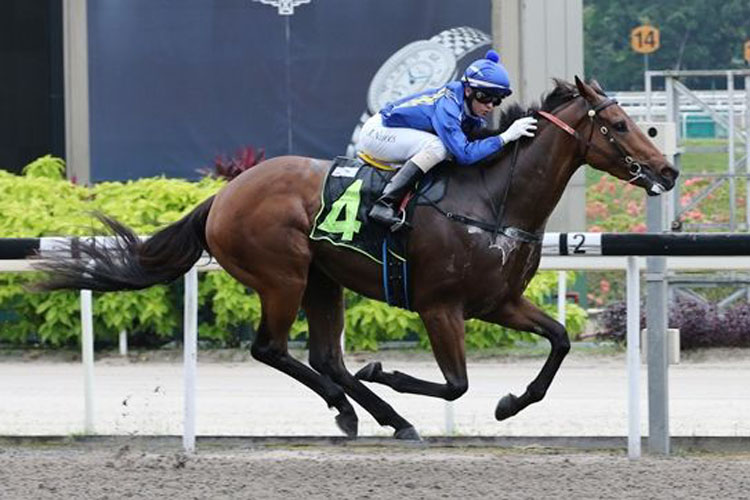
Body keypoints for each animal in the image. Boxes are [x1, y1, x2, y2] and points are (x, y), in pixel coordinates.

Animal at [36, 76, 680, 440]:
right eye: (619, 123)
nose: (669, 170)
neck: (492, 199)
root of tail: (224, 194)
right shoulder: (440, 305)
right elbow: (455, 385)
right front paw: (388, 372)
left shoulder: (497, 301)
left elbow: (560, 342)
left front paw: (509, 404)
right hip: (283, 275)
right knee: (274, 349)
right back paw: (357, 408)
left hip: (324, 279)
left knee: (326, 356)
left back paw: (381, 416)